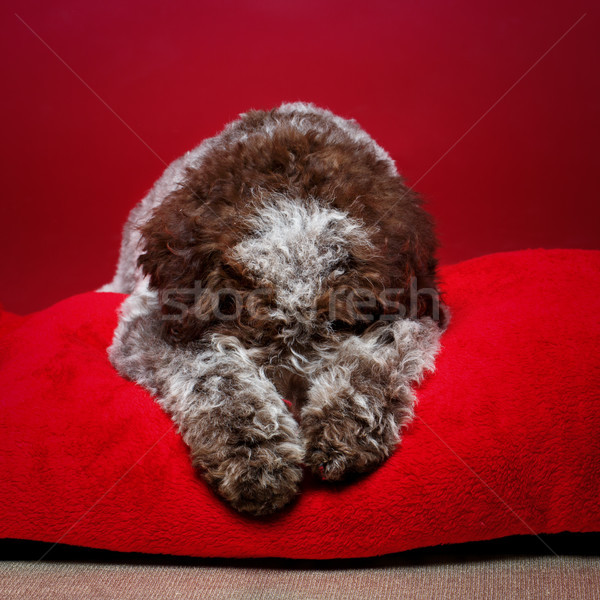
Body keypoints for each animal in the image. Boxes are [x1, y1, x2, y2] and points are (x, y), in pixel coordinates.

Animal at [101, 103, 442, 516]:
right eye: (253, 327)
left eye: (337, 323)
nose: (292, 400)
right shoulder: (153, 323)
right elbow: (216, 373)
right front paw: (254, 454)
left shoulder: (416, 308)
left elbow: (377, 354)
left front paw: (343, 423)